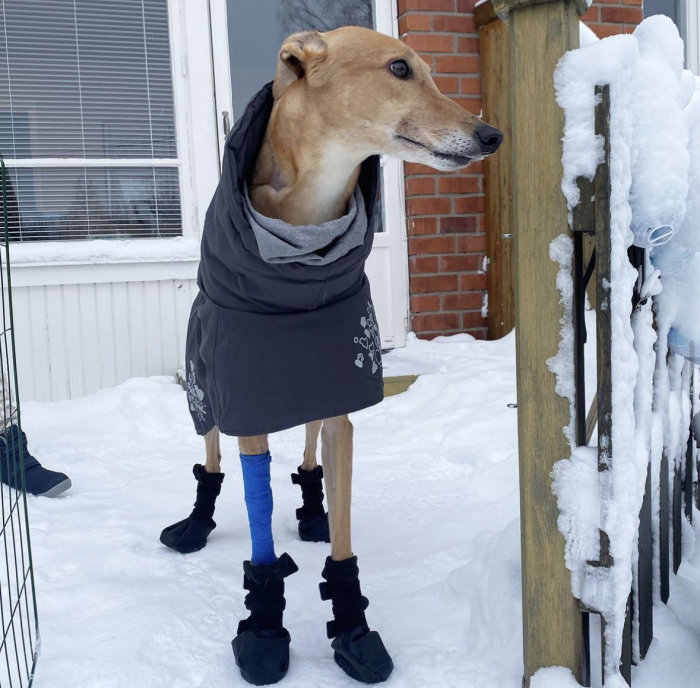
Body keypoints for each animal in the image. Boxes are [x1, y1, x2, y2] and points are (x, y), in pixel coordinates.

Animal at [161, 25, 500, 684]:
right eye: (400, 68)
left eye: (429, 69)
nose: (491, 135)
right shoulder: (249, 406)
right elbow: (258, 518)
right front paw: (263, 628)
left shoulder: (341, 390)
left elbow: (342, 525)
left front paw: (352, 625)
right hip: (204, 386)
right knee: (210, 454)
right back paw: (196, 522)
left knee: (311, 445)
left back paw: (312, 509)